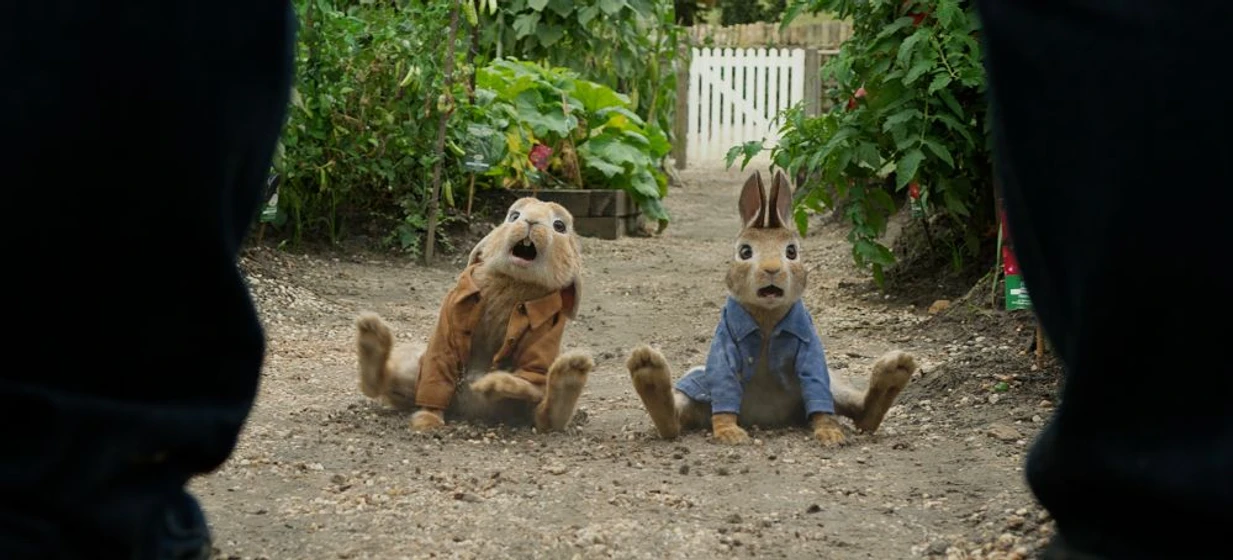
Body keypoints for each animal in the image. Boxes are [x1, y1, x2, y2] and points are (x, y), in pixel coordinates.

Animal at [354, 197, 593, 433]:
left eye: (559, 226)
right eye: (513, 216)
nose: (531, 221)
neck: (515, 281)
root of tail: (465, 408)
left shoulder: (547, 329)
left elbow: (532, 367)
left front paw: (494, 383)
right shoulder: (447, 327)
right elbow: (438, 371)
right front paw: (427, 421)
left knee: (546, 417)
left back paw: (569, 371)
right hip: (416, 370)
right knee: (384, 384)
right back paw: (372, 334)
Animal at [625, 170, 916, 446]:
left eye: (791, 252)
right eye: (745, 252)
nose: (772, 269)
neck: (767, 317)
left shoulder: (810, 348)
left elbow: (816, 386)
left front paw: (830, 434)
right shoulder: (725, 344)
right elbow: (725, 383)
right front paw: (729, 433)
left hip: (834, 385)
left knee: (861, 414)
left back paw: (896, 370)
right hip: (696, 387)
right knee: (675, 421)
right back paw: (647, 368)